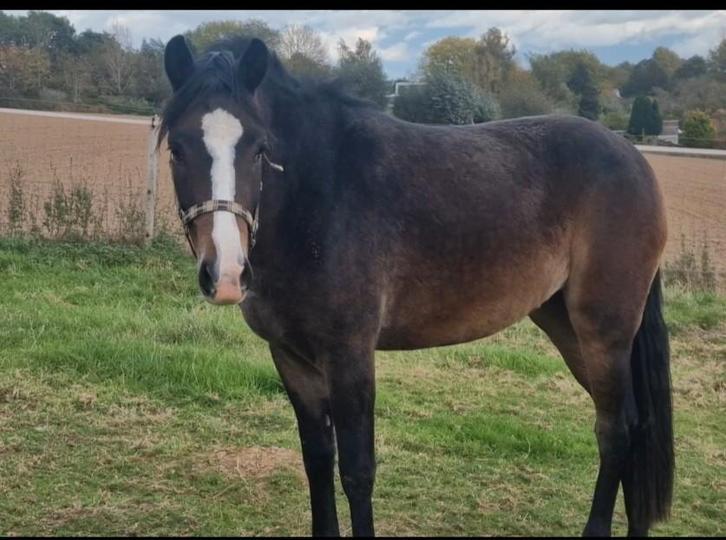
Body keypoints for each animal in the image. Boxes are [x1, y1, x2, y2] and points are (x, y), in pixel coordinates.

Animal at [159, 35, 673, 537]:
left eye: (260, 149)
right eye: (177, 149)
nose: (226, 273)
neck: (321, 197)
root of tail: (634, 159)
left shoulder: (349, 356)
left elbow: (357, 472)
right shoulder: (291, 357)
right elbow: (318, 461)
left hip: (604, 330)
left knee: (615, 429)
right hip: (566, 325)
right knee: (632, 423)